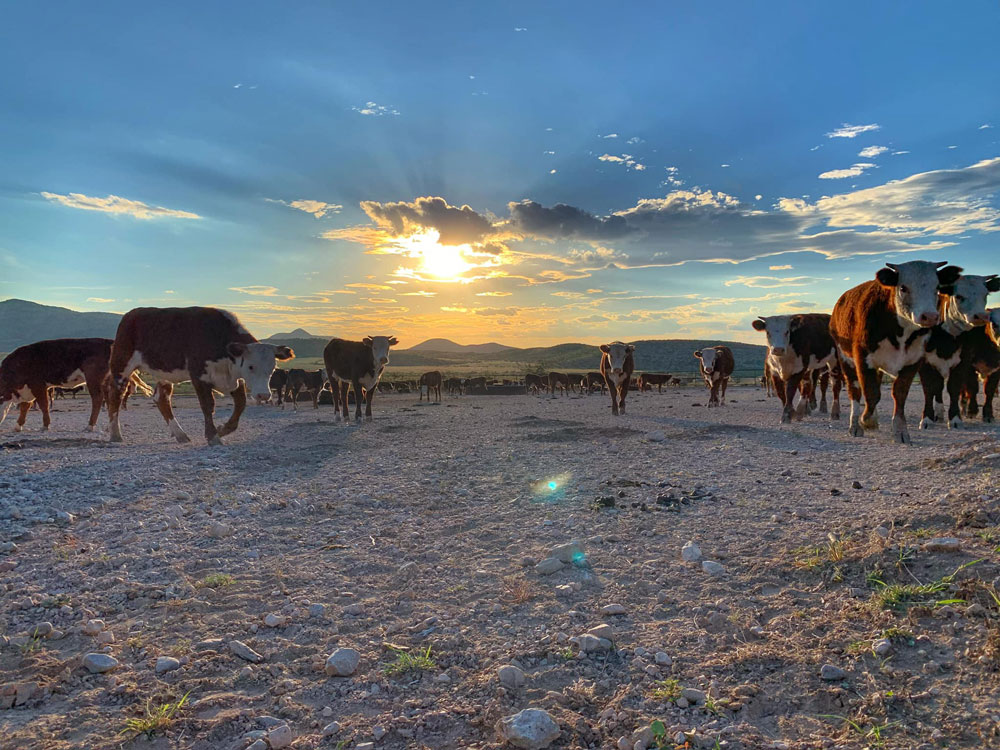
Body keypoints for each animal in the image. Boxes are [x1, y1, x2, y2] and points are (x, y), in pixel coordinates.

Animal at [0, 340, 149, 438]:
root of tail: (108, 342)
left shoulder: (38, 386)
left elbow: (43, 405)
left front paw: (45, 426)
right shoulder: (27, 391)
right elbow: (25, 408)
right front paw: (17, 426)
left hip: (93, 378)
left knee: (97, 399)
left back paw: (90, 426)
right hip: (106, 381)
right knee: (109, 399)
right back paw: (109, 426)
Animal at [109, 306, 296, 444]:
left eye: (272, 368)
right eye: (251, 366)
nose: (263, 395)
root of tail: (131, 314)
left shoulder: (233, 379)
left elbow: (241, 404)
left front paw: (223, 430)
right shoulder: (199, 376)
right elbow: (207, 405)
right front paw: (212, 436)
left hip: (165, 374)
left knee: (162, 399)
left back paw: (180, 434)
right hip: (121, 365)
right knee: (116, 396)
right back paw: (115, 434)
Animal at [828, 262, 960, 444]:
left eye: (937, 287)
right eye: (903, 287)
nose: (929, 316)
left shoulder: (913, 361)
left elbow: (899, 393)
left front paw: (900, 431)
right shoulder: (863, 358)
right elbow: (870, 392)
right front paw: (866, 420)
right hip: (845, 358)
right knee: (854, 390)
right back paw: (855, 425)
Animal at [916, 274, 996, 428]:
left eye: (985, 294)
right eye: (958, 296)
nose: (981, 316)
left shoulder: (963, 362)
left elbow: (954, 387)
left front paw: (955, 419)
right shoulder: (924, 363)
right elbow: (929, 389)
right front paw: (927, 418)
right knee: (937, 388)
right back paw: (938, 413)